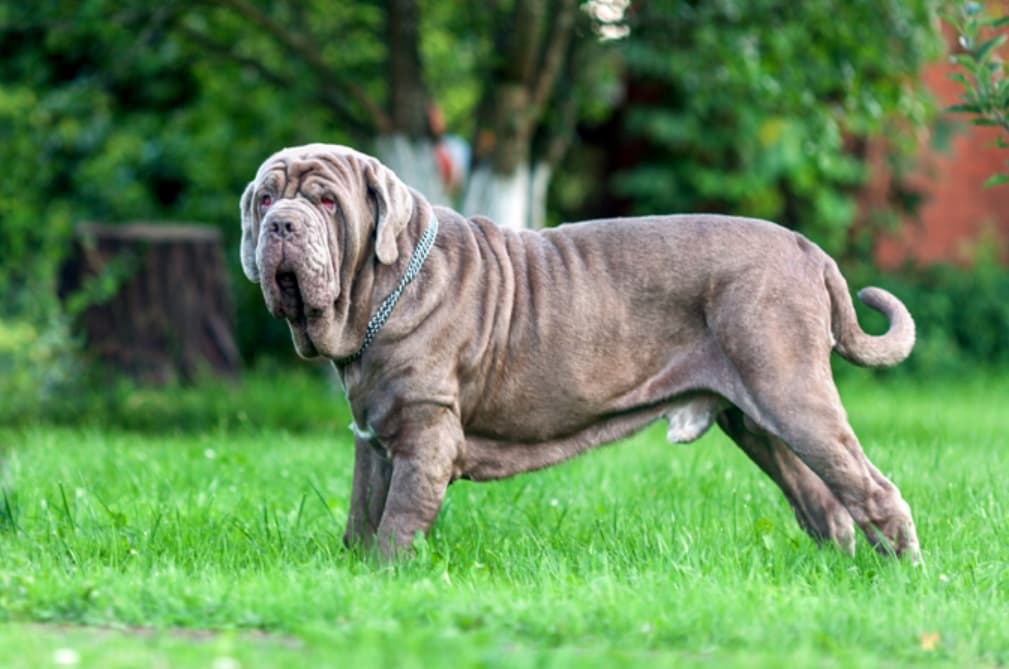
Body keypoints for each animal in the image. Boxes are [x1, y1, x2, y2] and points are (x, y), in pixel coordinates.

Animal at [240, 144, 920, 561]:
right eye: (266, 199)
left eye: (327, 202)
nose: (281, 225)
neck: (383, 288)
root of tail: (810, 251)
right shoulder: (374, 437)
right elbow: (362, 517)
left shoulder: (425, 436)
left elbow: (397, 526)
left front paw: (388, 576)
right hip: (757, 420)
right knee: (822, 501)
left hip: (791, 394)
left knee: (873, 488)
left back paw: (904, 573)